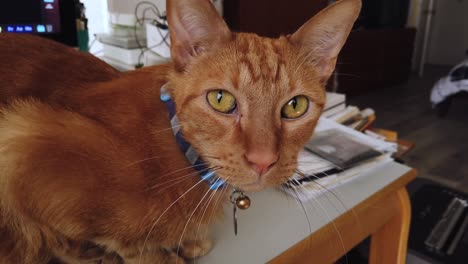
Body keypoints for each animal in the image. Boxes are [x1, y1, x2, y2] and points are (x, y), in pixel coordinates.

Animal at [0, 0, 362, 262]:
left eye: (295, 106)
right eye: (221, 99)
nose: (263, 161)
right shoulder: (22, 139)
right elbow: (112, 243)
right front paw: (158, 253)